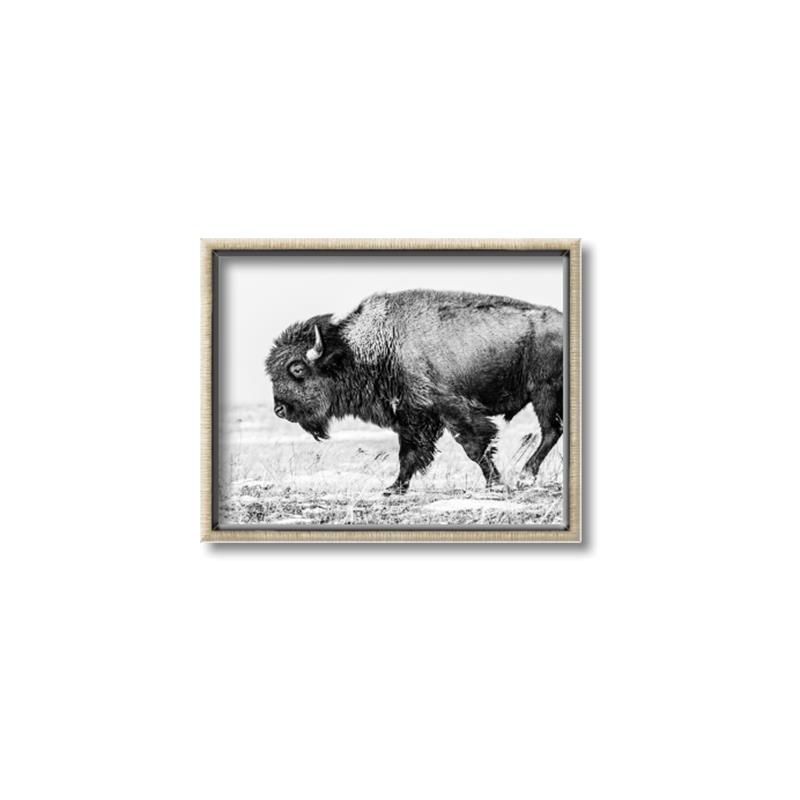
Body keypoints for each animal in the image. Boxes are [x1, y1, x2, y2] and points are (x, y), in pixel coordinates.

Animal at [265, 289, 563, 494]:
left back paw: (525, 477)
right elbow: (409, 455)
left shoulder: (451, 410)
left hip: (544, 392)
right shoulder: (412, 417)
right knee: (553, 431)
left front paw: (496, 484)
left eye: (297, 369)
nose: (279, 409)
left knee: (550, 431)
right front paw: (394, 489)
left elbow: (474, 447)